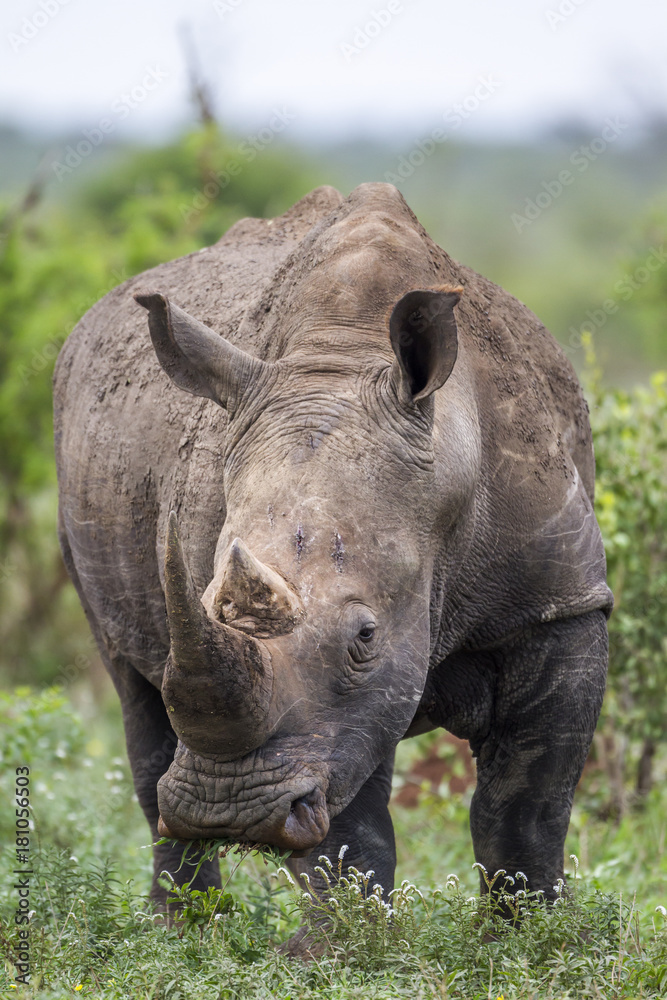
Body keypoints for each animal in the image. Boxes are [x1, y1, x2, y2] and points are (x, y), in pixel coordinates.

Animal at [54, 182, 612, 917]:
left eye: (365, 636)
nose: (226, 810)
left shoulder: (559, 604)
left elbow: (526, 812)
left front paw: (533, 935)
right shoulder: (321, 717)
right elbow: (347, 837)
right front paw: (342, 943)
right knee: (134, 697)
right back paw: (187, 929)